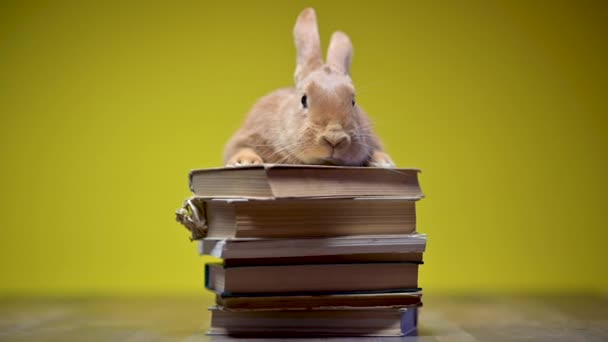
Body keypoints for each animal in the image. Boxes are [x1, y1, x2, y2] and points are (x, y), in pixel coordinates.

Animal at [223, 8, 394, 168]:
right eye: (303, 99)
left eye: (353, 102)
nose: (334, 139)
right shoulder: (248, 133)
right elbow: (240, 148)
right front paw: (245, 161)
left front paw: (383, 161)